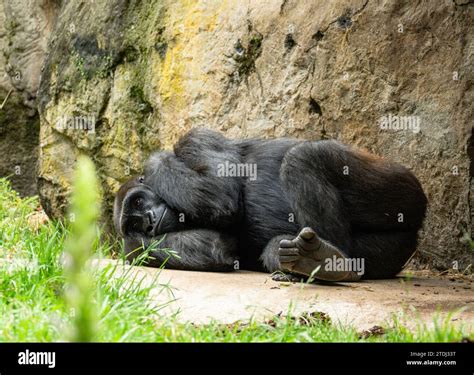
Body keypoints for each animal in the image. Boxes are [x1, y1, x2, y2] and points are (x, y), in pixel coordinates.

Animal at [113, 129, 428, 282]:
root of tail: (414, 235)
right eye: (134, 222)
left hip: (404, 190)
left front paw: (154, 161)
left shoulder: (196, 140)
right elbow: (214, 246)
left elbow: (218, 193)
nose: (148, 221)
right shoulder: (134, 248)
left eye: (139, 201)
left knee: (304, 157)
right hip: (390, 252)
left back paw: (330, 258)